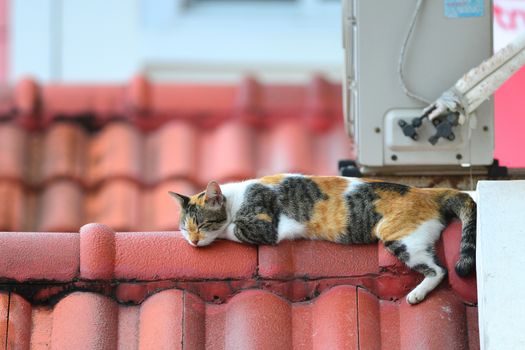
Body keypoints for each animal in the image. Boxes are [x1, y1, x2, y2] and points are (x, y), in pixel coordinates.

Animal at [169, 174, 474, 304]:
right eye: (184, 227)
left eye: (202, 224)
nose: (193, 241)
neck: (236, 198)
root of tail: (427, 192)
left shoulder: (264, 226)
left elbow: (232, 229)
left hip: (402, 239)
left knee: (439, 270)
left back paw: (415, 295)